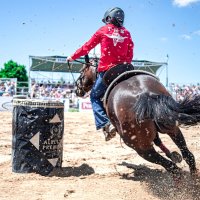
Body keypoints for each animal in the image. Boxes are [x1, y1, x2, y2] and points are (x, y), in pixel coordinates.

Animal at [72, 56, 200, 180]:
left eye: (82, 71)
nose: (77, 89)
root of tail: (146, 94)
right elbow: (158, 141)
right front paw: (173, 155)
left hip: (140, 147)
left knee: (173, 168)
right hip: (173, 129)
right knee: (188, 156)